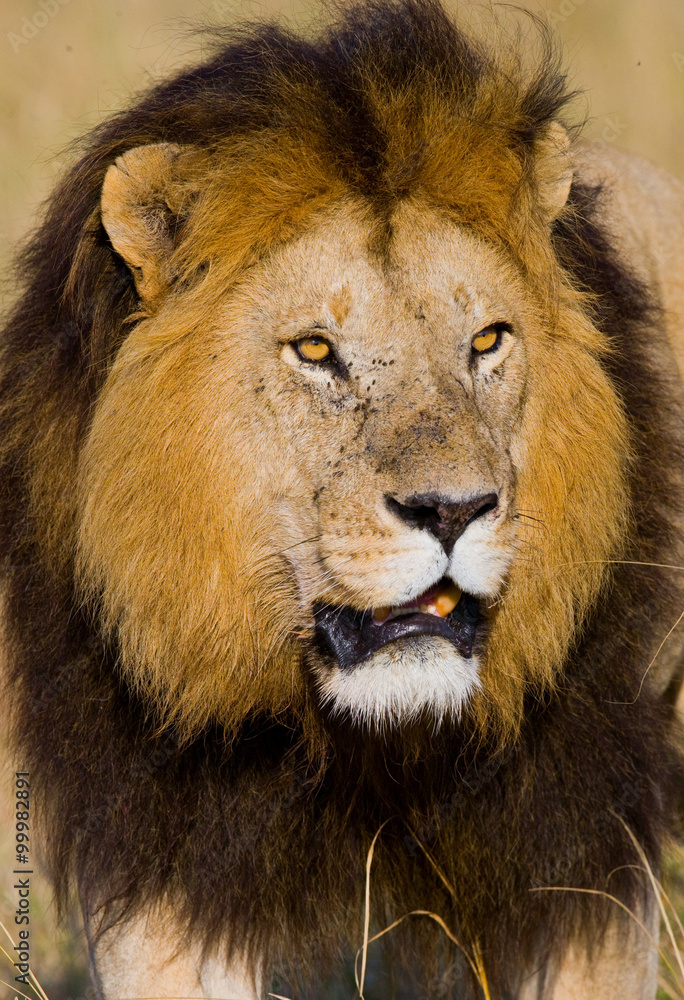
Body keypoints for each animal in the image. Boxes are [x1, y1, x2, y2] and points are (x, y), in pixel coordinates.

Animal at [2, 1, 684, 997]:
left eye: (487, 340)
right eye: (316, 351)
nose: (452, 511)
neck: (366, 748)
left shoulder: (583, 844)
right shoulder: (160, 852)